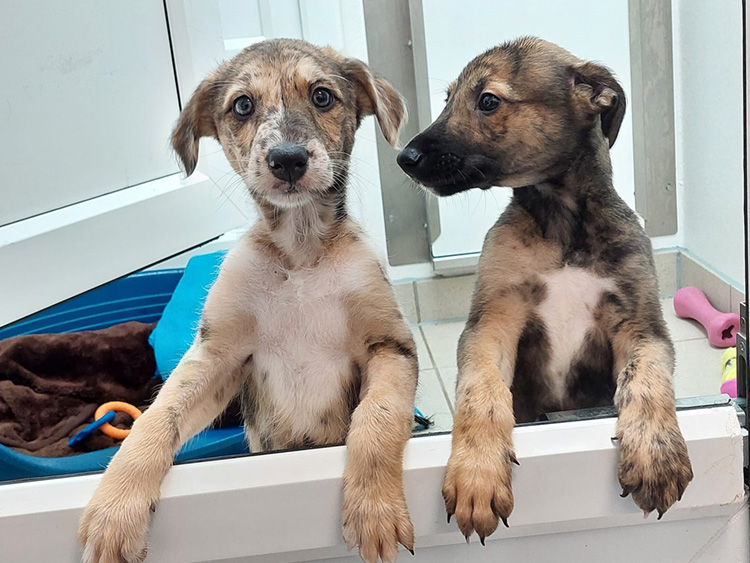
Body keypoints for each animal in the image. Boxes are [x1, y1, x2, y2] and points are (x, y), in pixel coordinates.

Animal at [80, 39, 420, 563]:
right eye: (242, 105)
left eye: (322, 96)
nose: (288, 159)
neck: (300, 252)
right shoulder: (218, 355)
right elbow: (156, 419)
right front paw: (115, 508)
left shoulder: (390, 346)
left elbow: (376, 420)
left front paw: (374, 508)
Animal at [396, 37, 696, 544]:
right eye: (447, 100)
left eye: (488, 101)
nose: (405, 158)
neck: (562, 223)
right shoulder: (492, 321)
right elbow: (481, 391)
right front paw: (478, 473)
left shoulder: (641, 326)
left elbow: (648, 380)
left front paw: (656, 454)